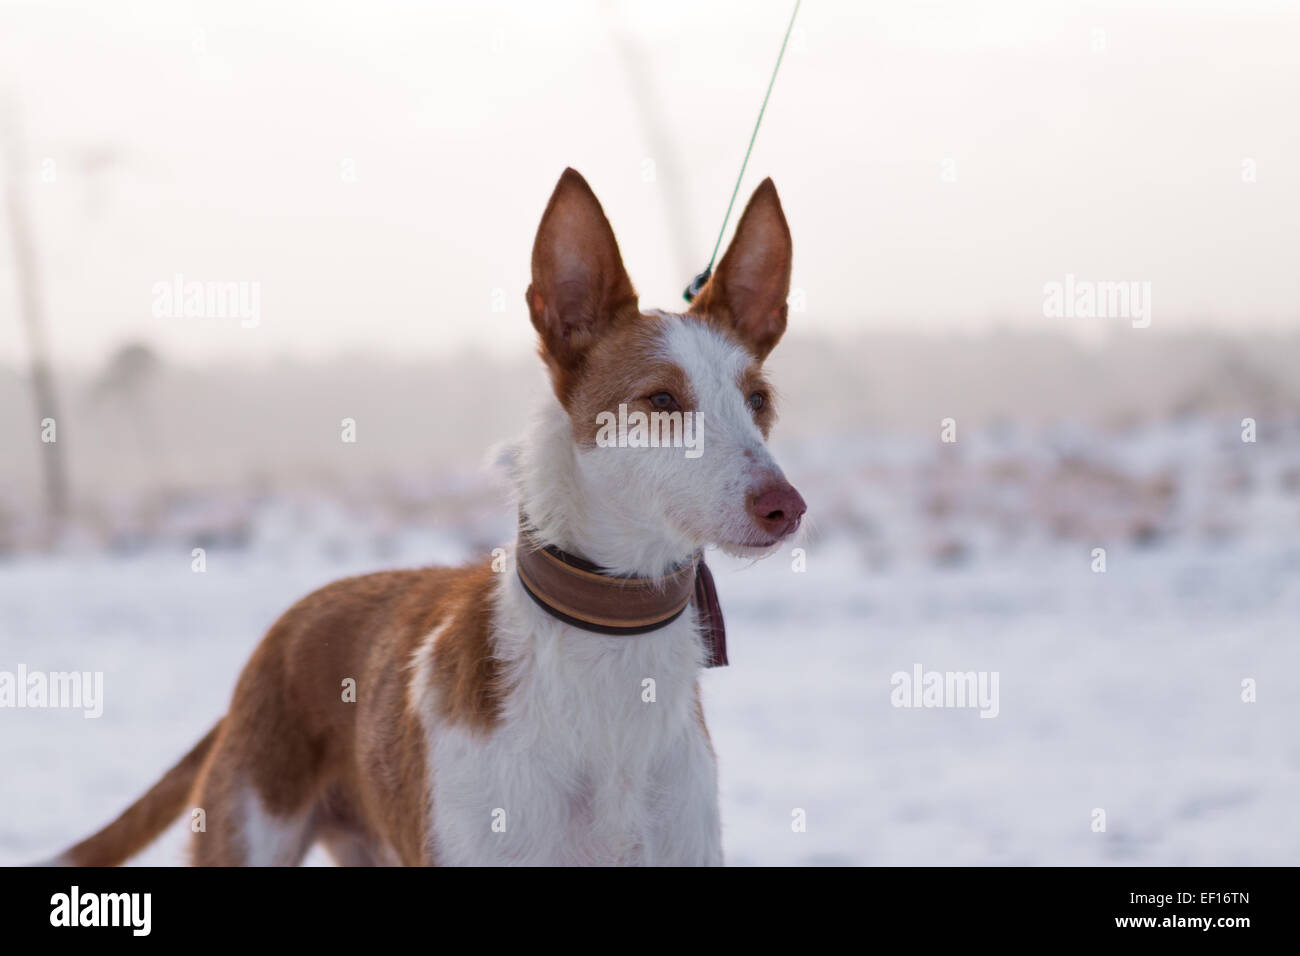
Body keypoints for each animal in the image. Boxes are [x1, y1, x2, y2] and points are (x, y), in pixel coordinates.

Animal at [55, 170, 806, 868]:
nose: (786, 507)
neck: (611, 652)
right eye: (661, 400)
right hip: (249, 829)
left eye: (759, 400)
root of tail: (274, 641)